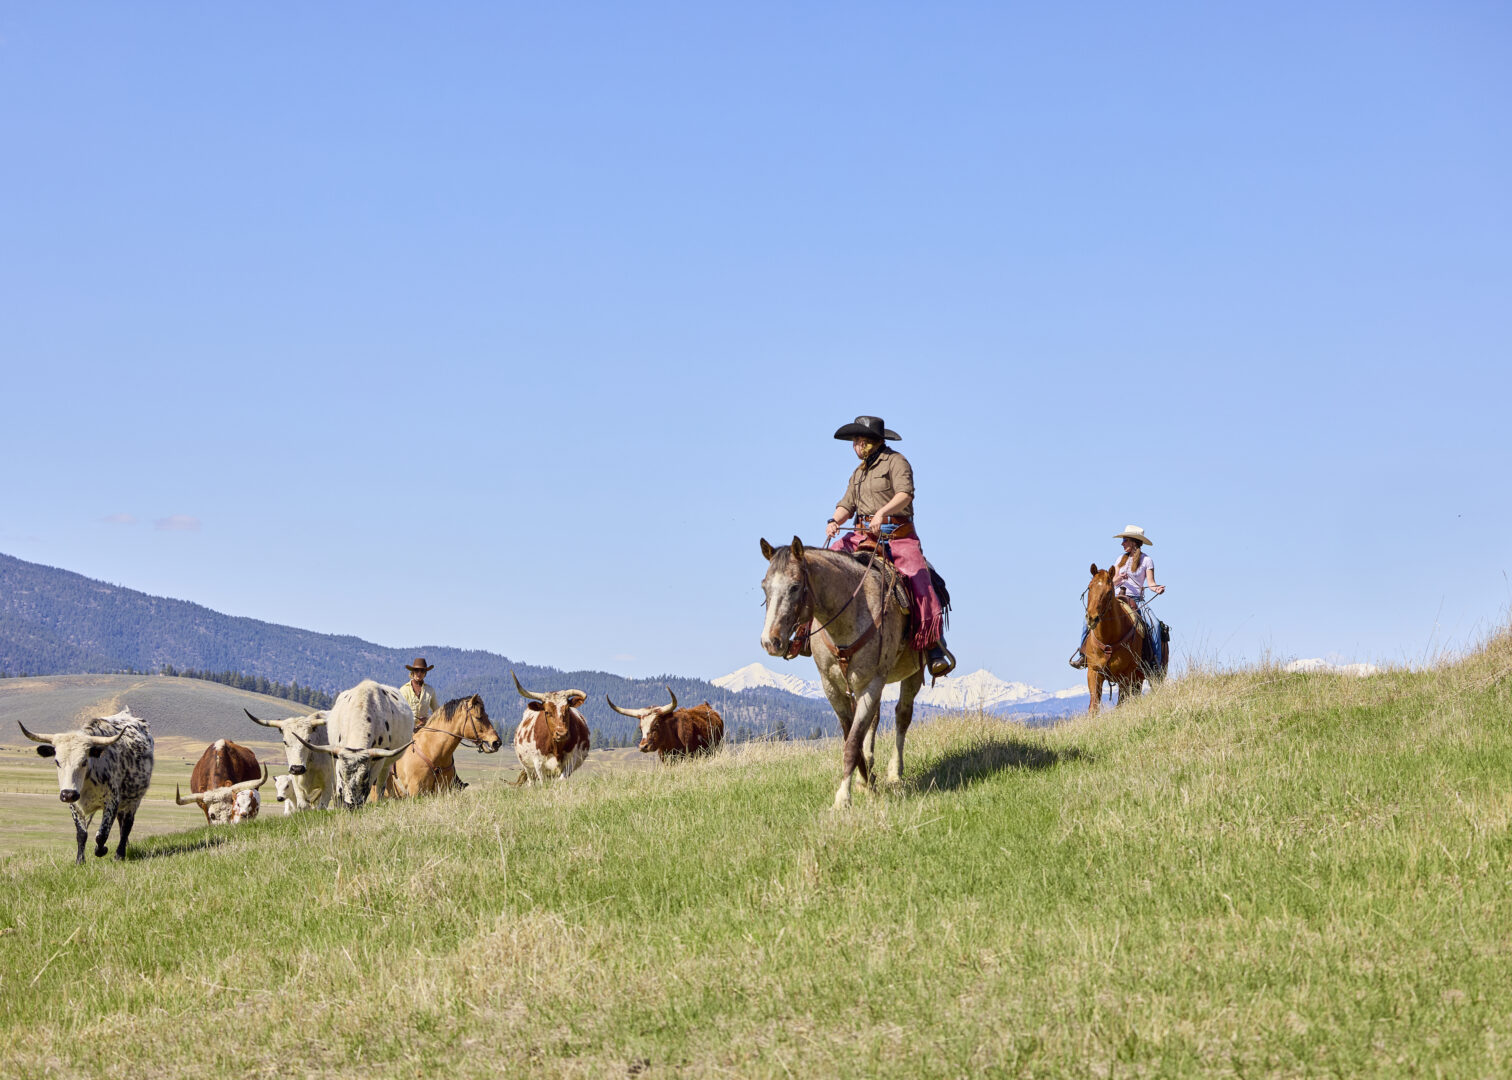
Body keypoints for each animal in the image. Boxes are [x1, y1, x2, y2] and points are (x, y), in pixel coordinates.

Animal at [19, 709, 155, 864]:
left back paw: (119, 854)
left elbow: (102, 834)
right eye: (57, 761)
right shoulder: (74, 805)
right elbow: (81, 834)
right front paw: (80, 860)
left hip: (134, 800)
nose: (68, 794)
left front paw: (101, 850)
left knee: (127, 825)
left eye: (84, 761)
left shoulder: (112, 801)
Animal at [289, 680, 412, 809]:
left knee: (380, 784)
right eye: (341, 774)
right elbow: (338, 790)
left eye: (365, 776)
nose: (351, 805)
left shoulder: (378, 761)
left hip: (387, 764)